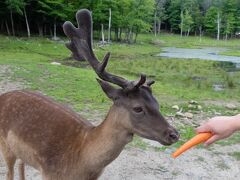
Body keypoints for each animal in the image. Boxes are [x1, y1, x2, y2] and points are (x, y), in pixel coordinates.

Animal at [0, 9, 179, 180]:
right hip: (5, 146)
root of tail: (3, 96)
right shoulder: (49, 173)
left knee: (21, 165)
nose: (174, 134)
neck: (82, 163)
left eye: (157, 103)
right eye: (138, 108)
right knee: (9, 173)